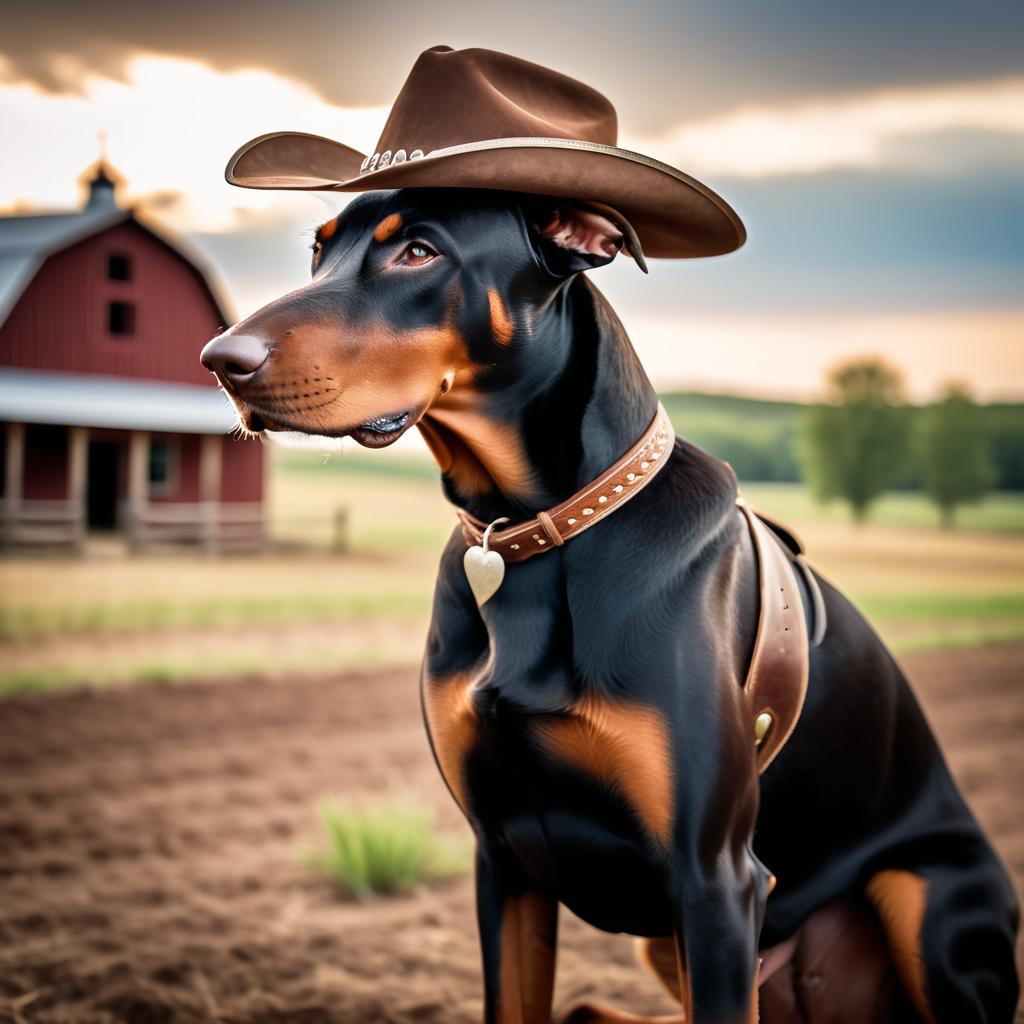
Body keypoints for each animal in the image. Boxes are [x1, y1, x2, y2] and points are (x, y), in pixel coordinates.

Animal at [197, 188, 1015, 1019]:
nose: (222, 361)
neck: (523, 531)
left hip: (924, 902)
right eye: (319, 251)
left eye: (418, 252)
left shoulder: (715, 879)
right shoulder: (502, 858)